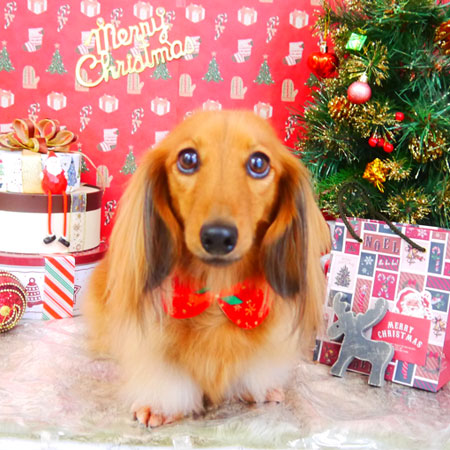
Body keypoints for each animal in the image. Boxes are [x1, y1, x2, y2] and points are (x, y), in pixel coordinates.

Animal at [83, 110, 330, 427]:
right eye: (188, 159)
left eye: (259, 163)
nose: (218, 237)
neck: (216, 293)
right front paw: (159, 405)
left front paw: (255, 388)